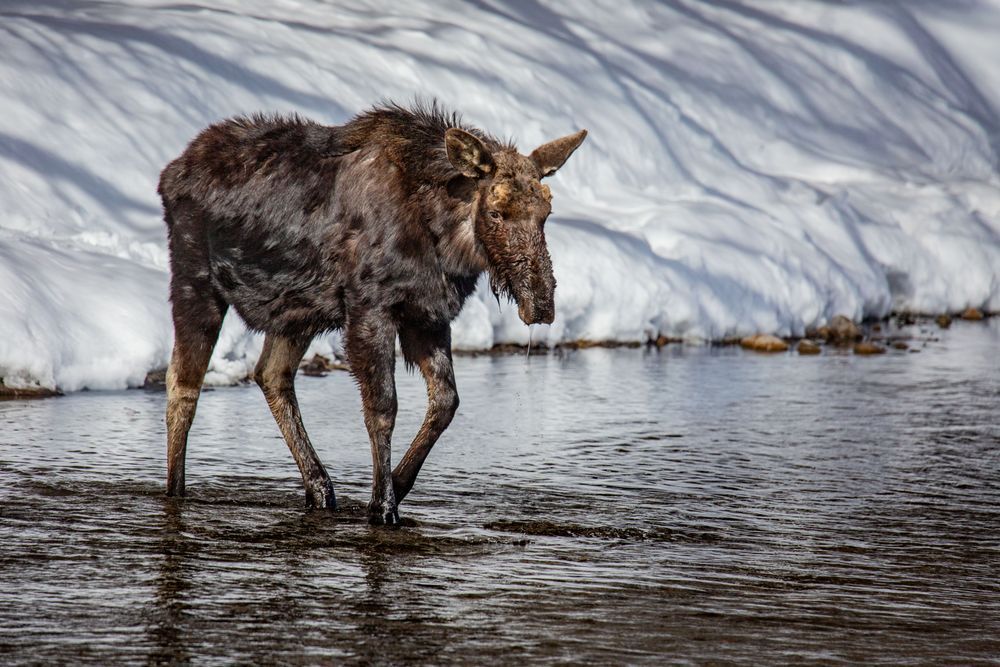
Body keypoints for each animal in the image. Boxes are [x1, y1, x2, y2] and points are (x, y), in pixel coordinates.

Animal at [158, 102, 586, 525]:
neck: (445, 239)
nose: (541, 305)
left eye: (546, 212)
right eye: (497, 212)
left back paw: (320, 489)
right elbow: (383, 407)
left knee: (270, 374)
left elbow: (445, 403)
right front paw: (383, 506)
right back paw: (175, 490)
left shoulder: (427, 316)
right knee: (183, 384)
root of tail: (170, 174)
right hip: (194, 280)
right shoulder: (370, 308)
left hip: (296, 311)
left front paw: (396, 486)